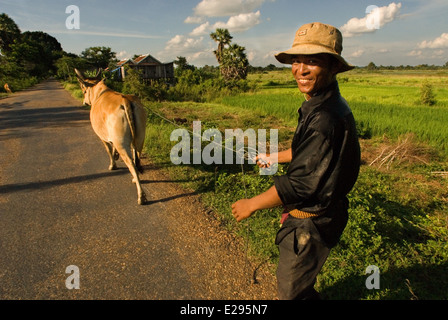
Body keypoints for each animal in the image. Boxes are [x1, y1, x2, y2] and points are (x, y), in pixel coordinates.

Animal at [75, 69, 148, 205]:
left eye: (84, 91)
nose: (84, 102)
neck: (99, 93)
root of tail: (125, 100)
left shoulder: (102, 136)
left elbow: (108, 150)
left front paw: (112, 165)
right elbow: (113, 148)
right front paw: (115, 156)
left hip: (121, 143)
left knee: (131, 163)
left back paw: (141, 196)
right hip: (140, 138)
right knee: (137, 157)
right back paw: (135, 180)